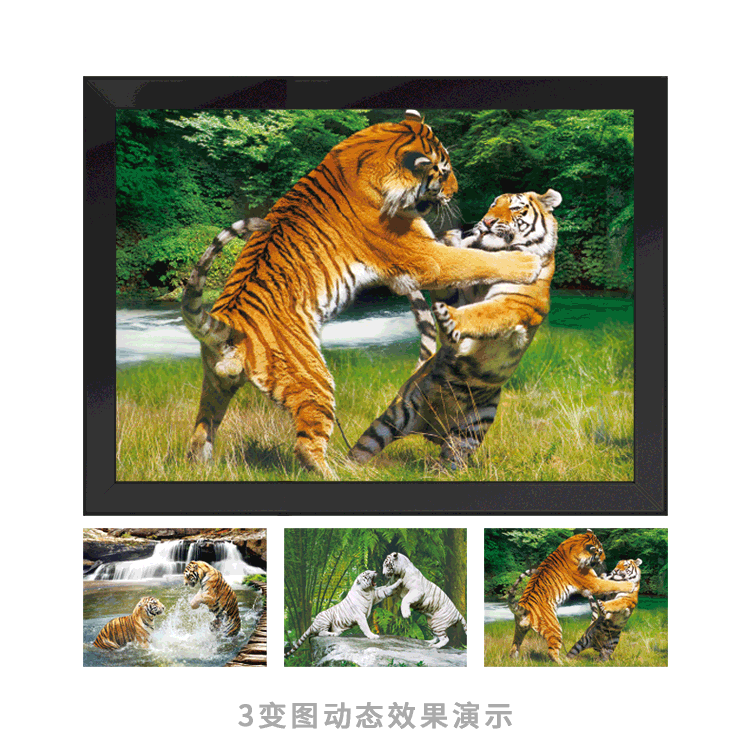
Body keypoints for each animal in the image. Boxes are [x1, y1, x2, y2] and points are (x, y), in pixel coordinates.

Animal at [348, 190, 561, 470]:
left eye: (515, 208)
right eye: (493, 205)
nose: (488, 221)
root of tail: (431, 430)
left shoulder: (513, 304)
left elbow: (483, 312)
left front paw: (451, 320)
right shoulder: (461, 294)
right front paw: (450, 239)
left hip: (469, 432)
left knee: (450, 462)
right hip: (392, 418)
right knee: (362, 448)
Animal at [506, 530, 638, 664]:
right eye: (600, 552)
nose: (605, 558)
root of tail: (523, 607)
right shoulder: (593, 582)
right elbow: (611, 584)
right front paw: (630, 585)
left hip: (519, 630)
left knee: (514, 646)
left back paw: (514, 660)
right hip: (554, 629)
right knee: (551, 652)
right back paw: (563, 663)